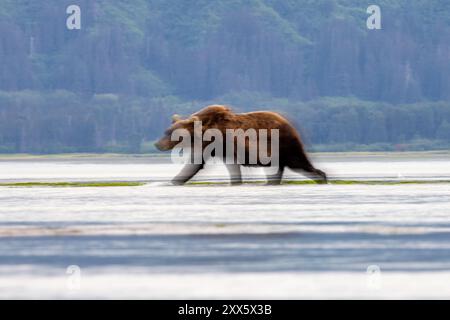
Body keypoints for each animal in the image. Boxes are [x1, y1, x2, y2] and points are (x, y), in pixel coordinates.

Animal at [155, 105, 326, 185]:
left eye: (170, 133)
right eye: (166, 131)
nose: (157, 144)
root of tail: (291, 125)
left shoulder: (219, 144)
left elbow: (194, 165)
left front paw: (171, 181)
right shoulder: (222, 150)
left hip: (283, 144)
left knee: (299, 162)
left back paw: (321, 177)